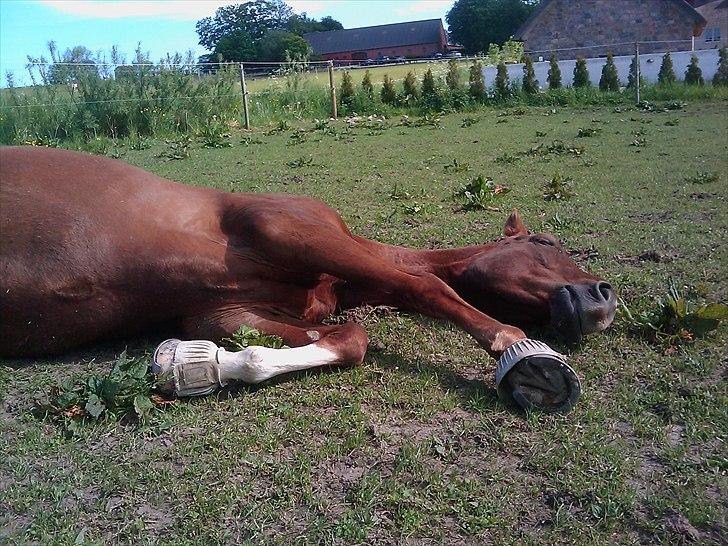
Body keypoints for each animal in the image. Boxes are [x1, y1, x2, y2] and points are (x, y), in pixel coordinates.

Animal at [0, 147, 616, 410]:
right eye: (545, 244)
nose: (603, 295)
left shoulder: (224, 314)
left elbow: (343, 340)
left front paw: (188, 365)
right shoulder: (293, 230)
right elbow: (424, 285)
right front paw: (518, 349)